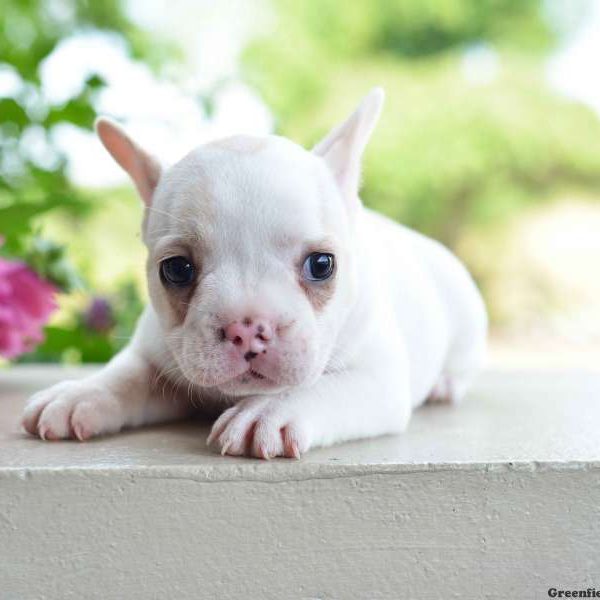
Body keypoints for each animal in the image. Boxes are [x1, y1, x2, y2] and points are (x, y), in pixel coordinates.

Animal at [21, 89, 488, 458]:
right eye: (176, 269)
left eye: (322, 264)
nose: (247, 328)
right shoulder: (152, 353)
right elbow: (126, 374)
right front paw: (81, 392)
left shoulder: (379, 378)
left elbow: (322, 385)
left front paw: (270, 410)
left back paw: (446, 384)